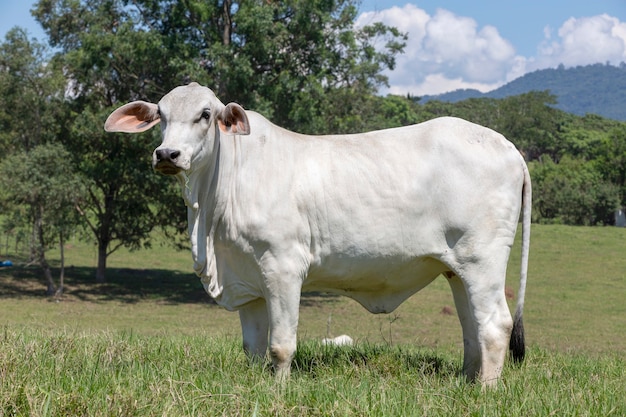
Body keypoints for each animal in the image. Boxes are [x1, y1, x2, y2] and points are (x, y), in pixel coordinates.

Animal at [105, 83, 528, 386]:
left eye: (205, 115)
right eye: (161, 115)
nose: (167, 154)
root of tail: (507, 145)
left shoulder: (283, 267)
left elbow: (280, 345)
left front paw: (278, 390)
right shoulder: (247, 280)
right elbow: (253, 347)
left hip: (483, 258)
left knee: (495, 325)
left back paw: (485, 391)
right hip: (457, 268)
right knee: (471, 325)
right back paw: (468, 381)